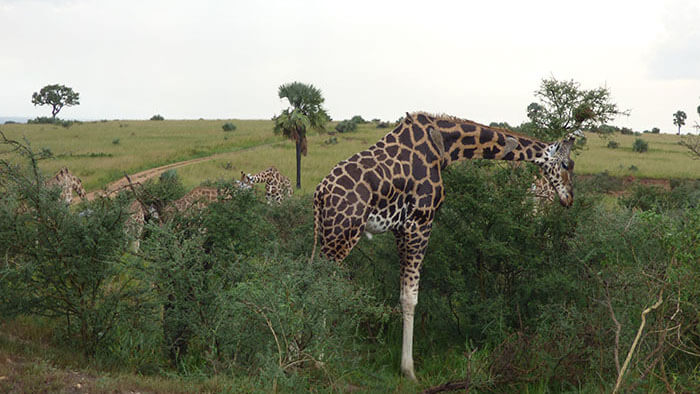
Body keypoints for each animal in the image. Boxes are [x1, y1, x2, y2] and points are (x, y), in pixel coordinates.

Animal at [312, 111, 580, 378]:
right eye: (567, 164)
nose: (569, 198)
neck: (445, 149)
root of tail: (320, 192)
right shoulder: (420, 221)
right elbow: (410, 297)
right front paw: (409, 369)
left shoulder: (400, 228)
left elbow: (402, 293)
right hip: (342, 234)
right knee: (322, 284)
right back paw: (320, 358)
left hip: (325, 234)